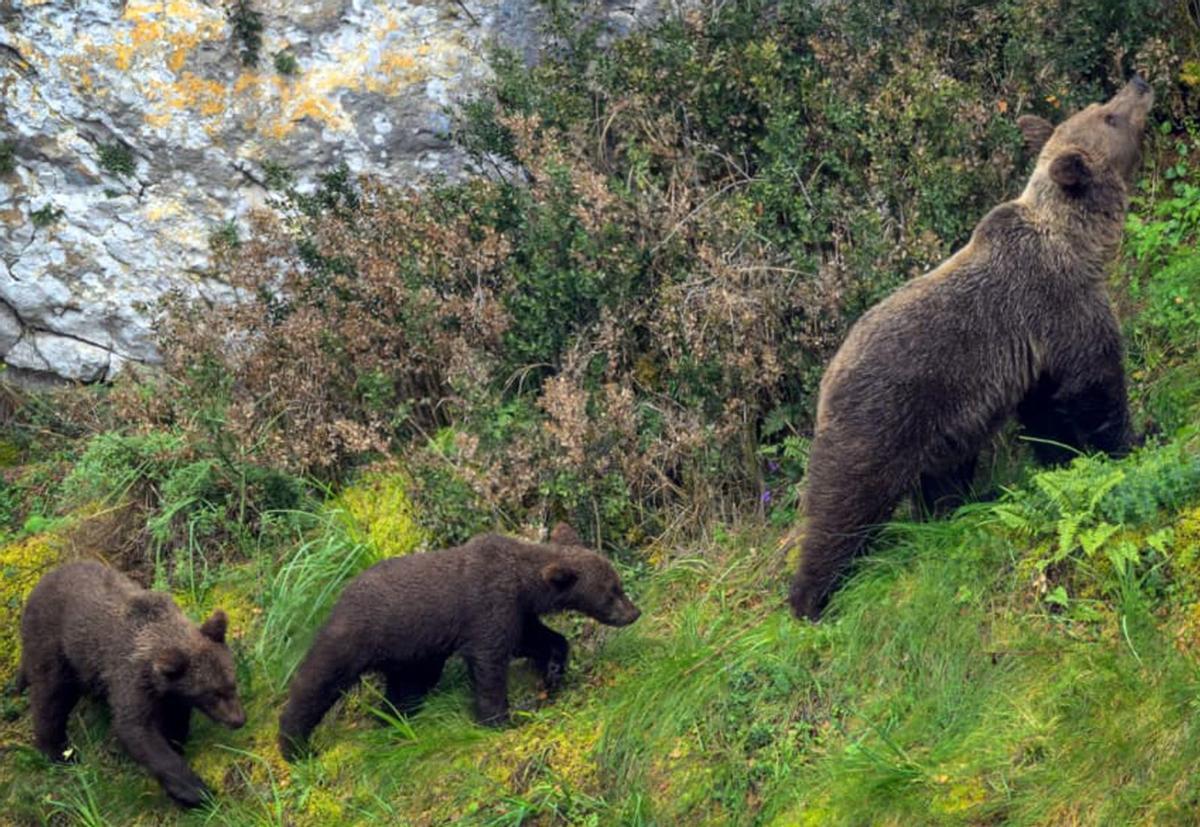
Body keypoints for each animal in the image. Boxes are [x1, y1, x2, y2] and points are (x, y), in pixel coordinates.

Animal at [17, 560, 246, 808]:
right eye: (212, 694)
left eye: (232, 683)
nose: (238, 720)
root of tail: (39, 583)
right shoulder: (130, 677)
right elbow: (136, 729)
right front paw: (195, 791)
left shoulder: (169, 693)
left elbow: (173, 719)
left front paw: (176, 743)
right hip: (53, 645)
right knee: (50, 696)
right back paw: (57, 753)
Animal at [278, 522, 640, 760]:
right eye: (612, 591)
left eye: (618, 584)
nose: (634, 612)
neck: (523, 582)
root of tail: (340, 596)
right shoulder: (487, 607)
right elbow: (489, 663)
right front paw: (498, 719)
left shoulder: (516, 612)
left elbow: (535, 638)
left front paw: (554, 668)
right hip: (356, 635)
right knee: (318, 680)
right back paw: (295, 745)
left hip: (410, 654)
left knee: (407, 687)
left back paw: (394, 720)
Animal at [788, 77, 1155, 621]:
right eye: (1109, 116)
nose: (1139, 82)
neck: (1079, 246)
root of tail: (825, 379)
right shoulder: (1062, 308)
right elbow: (1094, 385)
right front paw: (1133, 438)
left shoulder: (1035, 354)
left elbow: (1048, 414)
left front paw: (1062, 460)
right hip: (883, 417)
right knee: (844, 503)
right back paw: (811, 601)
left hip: (942, 430)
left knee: (939, 483)